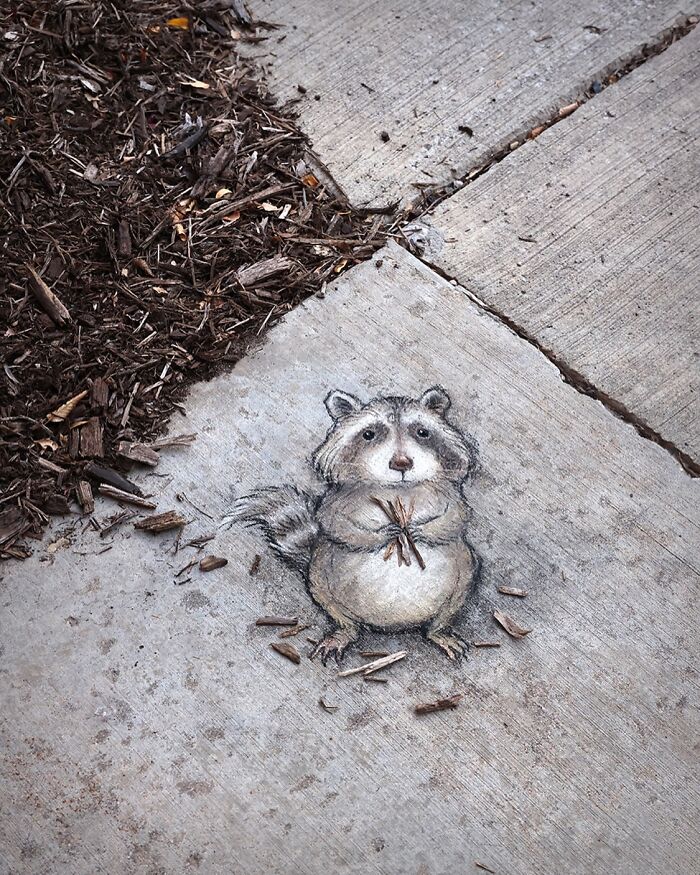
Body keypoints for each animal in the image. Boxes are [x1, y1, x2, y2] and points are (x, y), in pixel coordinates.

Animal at [225, 387, 479, 663]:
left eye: (422, 432)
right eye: (368, 434)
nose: (401, 464)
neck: (398, 490)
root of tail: (394, 625)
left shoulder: (449, 495)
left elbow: (456, 519)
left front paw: (421, 529)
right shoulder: (338, 499)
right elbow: (335, 525)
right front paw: (380, 535)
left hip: (464, 571)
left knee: (454, 596)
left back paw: (439, 631)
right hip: (320, 576)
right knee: (338, 611)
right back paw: (343, 632)